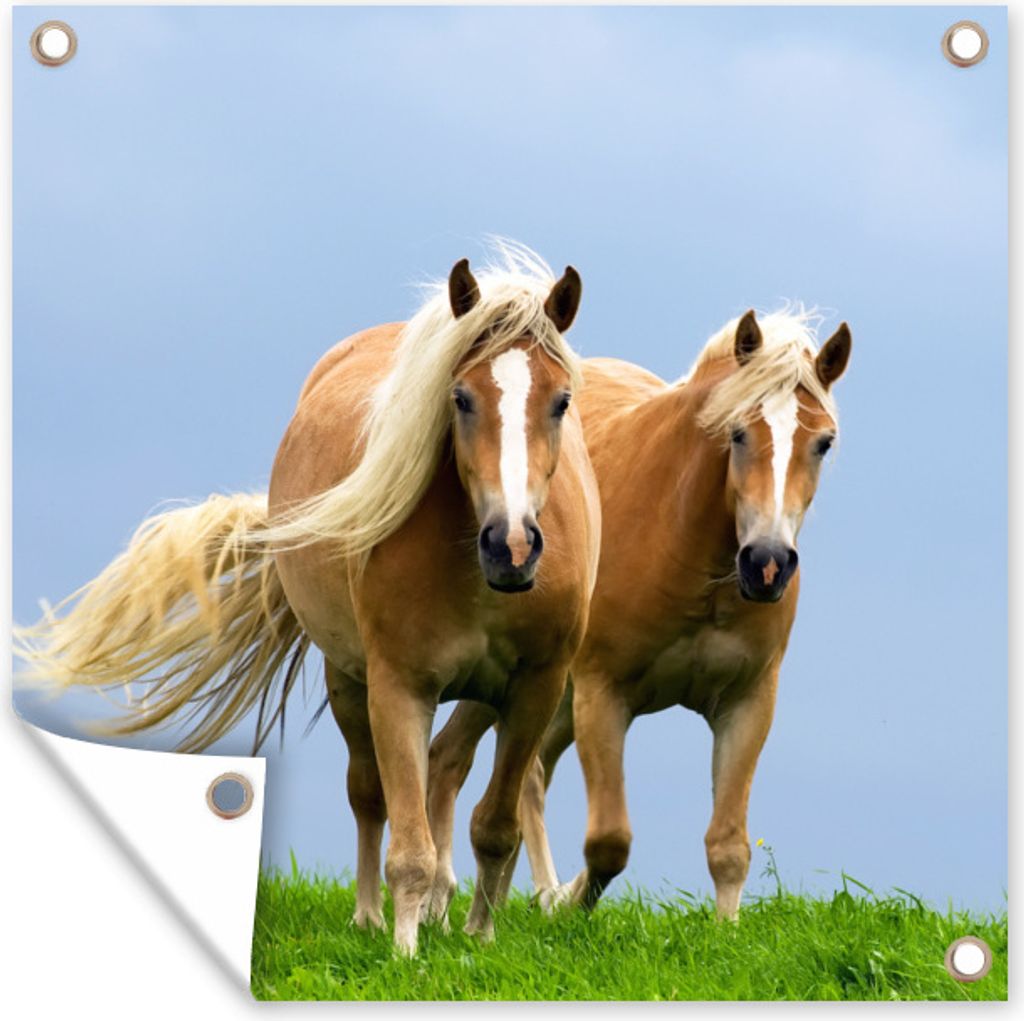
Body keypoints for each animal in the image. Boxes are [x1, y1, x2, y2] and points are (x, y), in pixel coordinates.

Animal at [14, 243, 602, 956]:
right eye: (460, 398)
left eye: (561, 401)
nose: (511, 546)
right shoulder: (398, 686)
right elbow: (407, 844)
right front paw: (406, 954)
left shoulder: (535, 689)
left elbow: (496, 828)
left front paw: (480, 940)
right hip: (348, 679)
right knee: (369, 795)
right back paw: (371, 917)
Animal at [426, 308, 851, 921]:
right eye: (737, 432)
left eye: (823, 443)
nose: (767, 564)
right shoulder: (603, 695)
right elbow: (609, 841)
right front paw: (566, 904)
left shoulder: (748, 703)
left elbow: (729, 846)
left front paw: (725, 929)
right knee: (476, 767)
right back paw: (469, 897)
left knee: (491, 766)